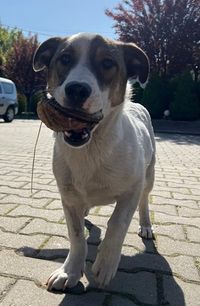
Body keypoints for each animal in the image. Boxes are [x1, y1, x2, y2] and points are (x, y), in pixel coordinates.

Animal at [32, 32, 155, 290]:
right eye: (65, 58)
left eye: (107, 63)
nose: (77, 89)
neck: (90, 150)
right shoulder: (68, 198)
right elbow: (76, 236)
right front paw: (69, 271)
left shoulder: (131, 190)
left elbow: (117, 224)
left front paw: (106, 264)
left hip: (150, 176)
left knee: (144, 201)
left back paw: (146, 224)